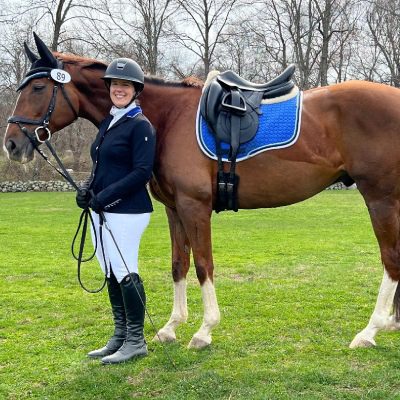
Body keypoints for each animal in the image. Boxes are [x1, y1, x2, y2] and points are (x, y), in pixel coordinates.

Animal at [3, 32, 400, 350]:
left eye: (37, 88)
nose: (11, 144)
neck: (167, 118)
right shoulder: (174, 209)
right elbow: (178, 264)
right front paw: (170, 327)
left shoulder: (195, 207)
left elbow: (203, 265)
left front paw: (204, 330)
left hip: (380, 198)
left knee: (390, 260)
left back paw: (370, 331)